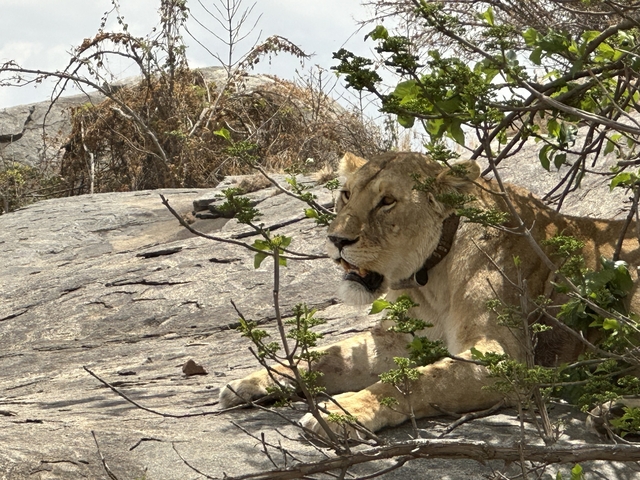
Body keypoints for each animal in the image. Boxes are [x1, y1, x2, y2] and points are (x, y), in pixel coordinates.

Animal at [219, 151, 640, 436]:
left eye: (387, 201)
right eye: (345, 195)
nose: (336, 240)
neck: (428, 280)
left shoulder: (507, 358)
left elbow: (415, 382)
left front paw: (342, 412)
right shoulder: (394, 341)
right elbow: (327, 357)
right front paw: (252, 381)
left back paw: (613, 412)